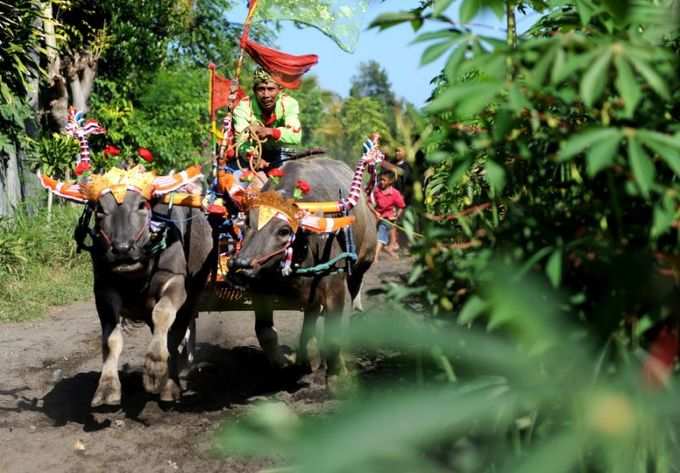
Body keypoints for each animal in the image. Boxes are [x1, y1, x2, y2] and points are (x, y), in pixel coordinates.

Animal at [228, 157, 378, 390]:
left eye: (284, 230)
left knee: (354, 296)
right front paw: (283, 365)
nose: (240, 266)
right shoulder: (261, 287)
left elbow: (333, 332)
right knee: (310, 317)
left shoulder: (334, 283)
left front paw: (337, 377)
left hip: (363, 261)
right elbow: (265, 331)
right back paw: (305, 359)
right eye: (246, 224)